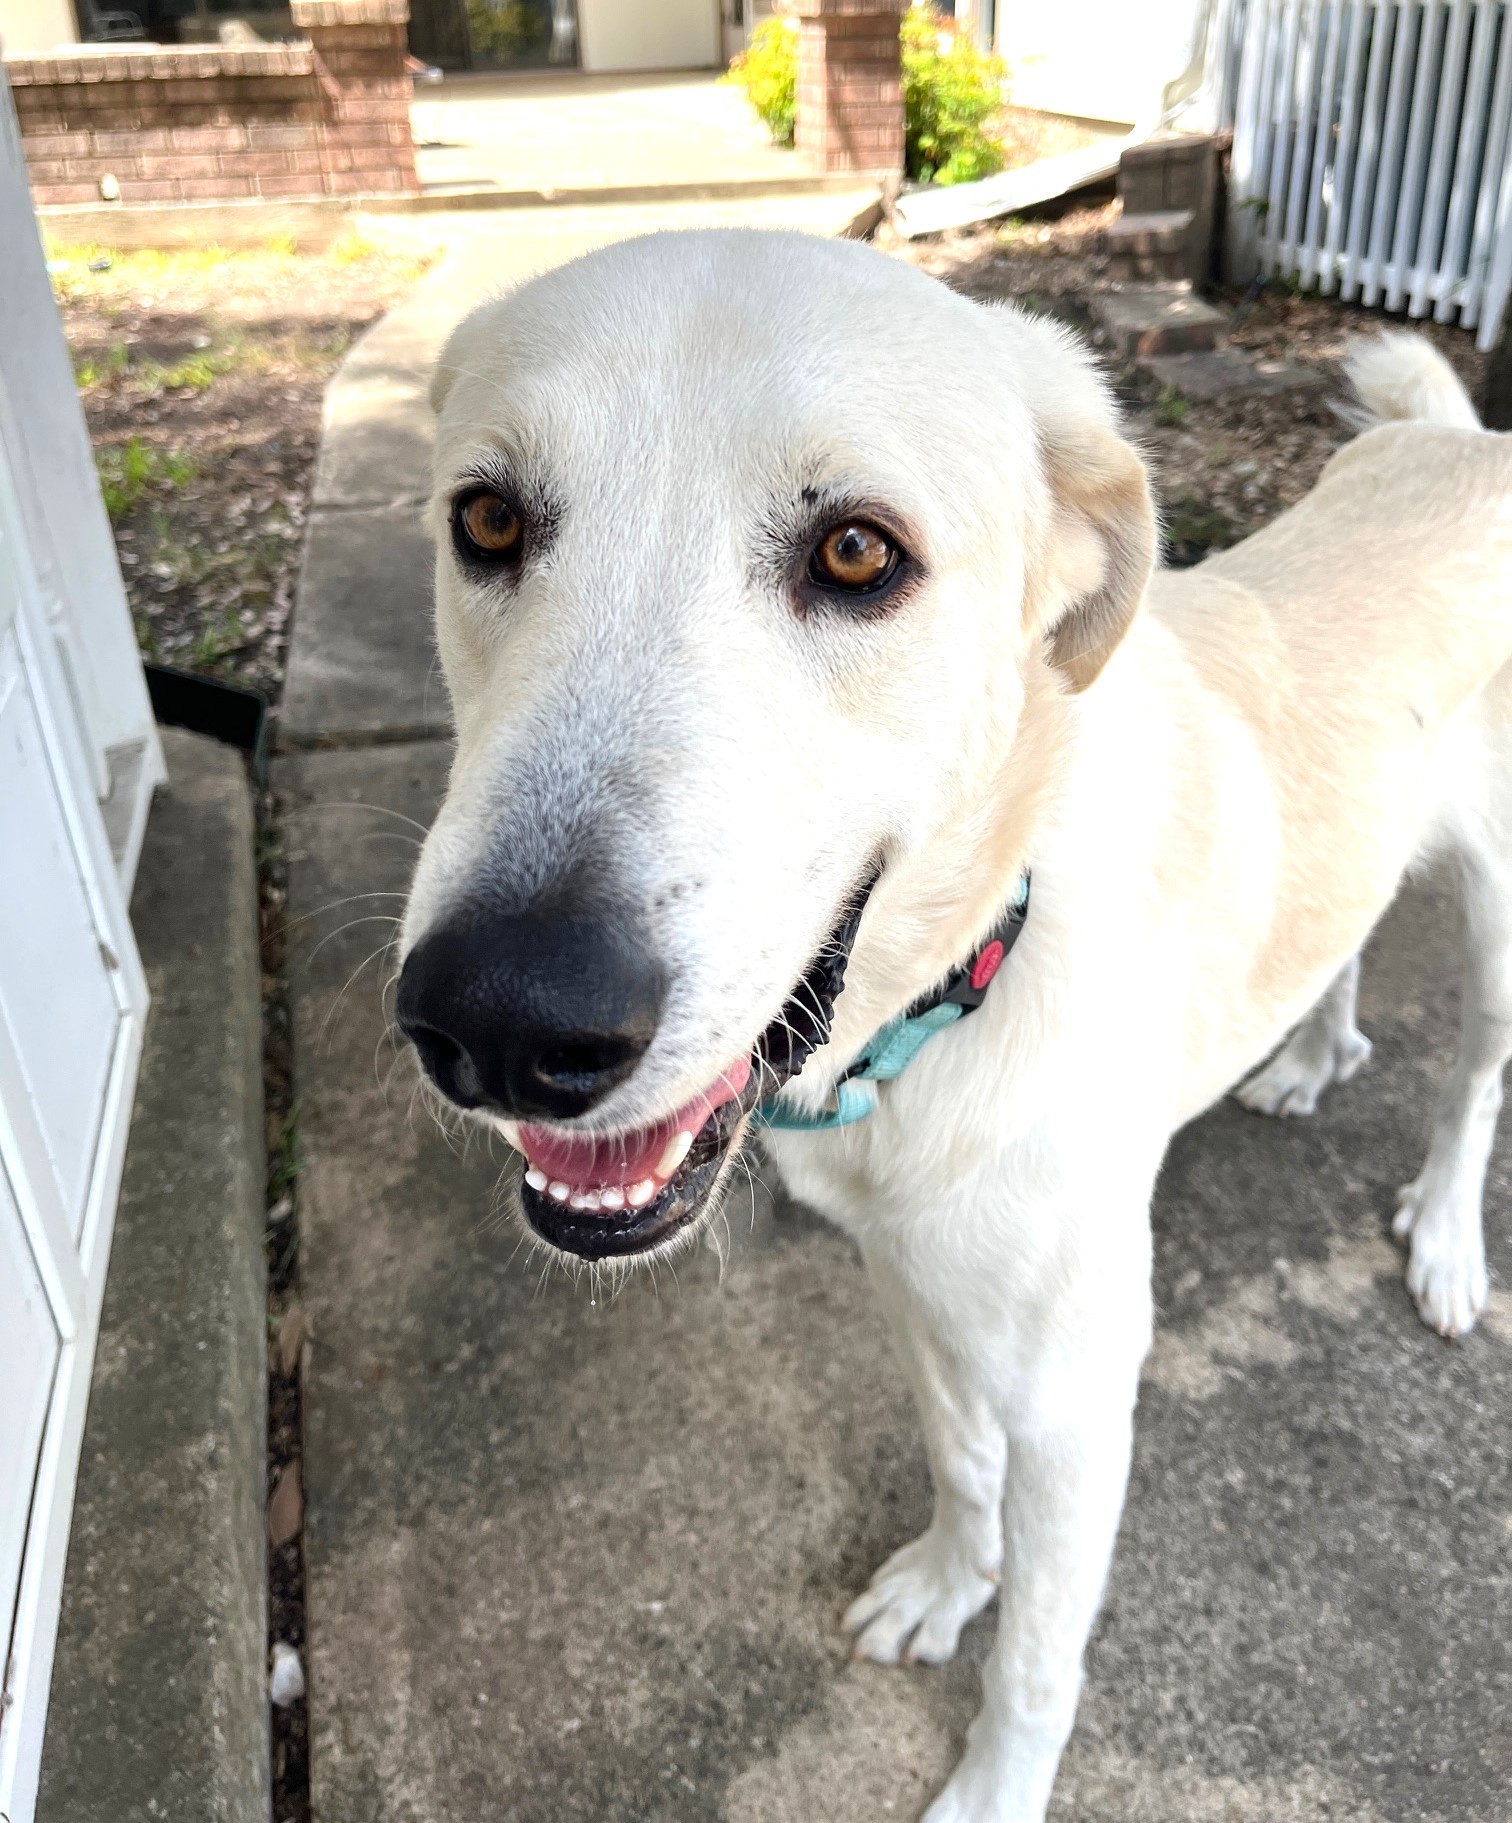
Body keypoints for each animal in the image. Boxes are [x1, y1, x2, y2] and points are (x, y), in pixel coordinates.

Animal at [397, 235, 1510, 1815]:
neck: (947, 996)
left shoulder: (1076, 1397)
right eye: (486, 519)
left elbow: (1038, 1657)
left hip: (1498, 927)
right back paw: (1305, 1054)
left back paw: (1448, 1240)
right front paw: (946, 1579)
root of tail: (1463, 443)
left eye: (859, 554)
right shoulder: (913, 1286)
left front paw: (994, 1782)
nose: (499, 1018)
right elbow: (955, 1459)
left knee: (1473, 1077)